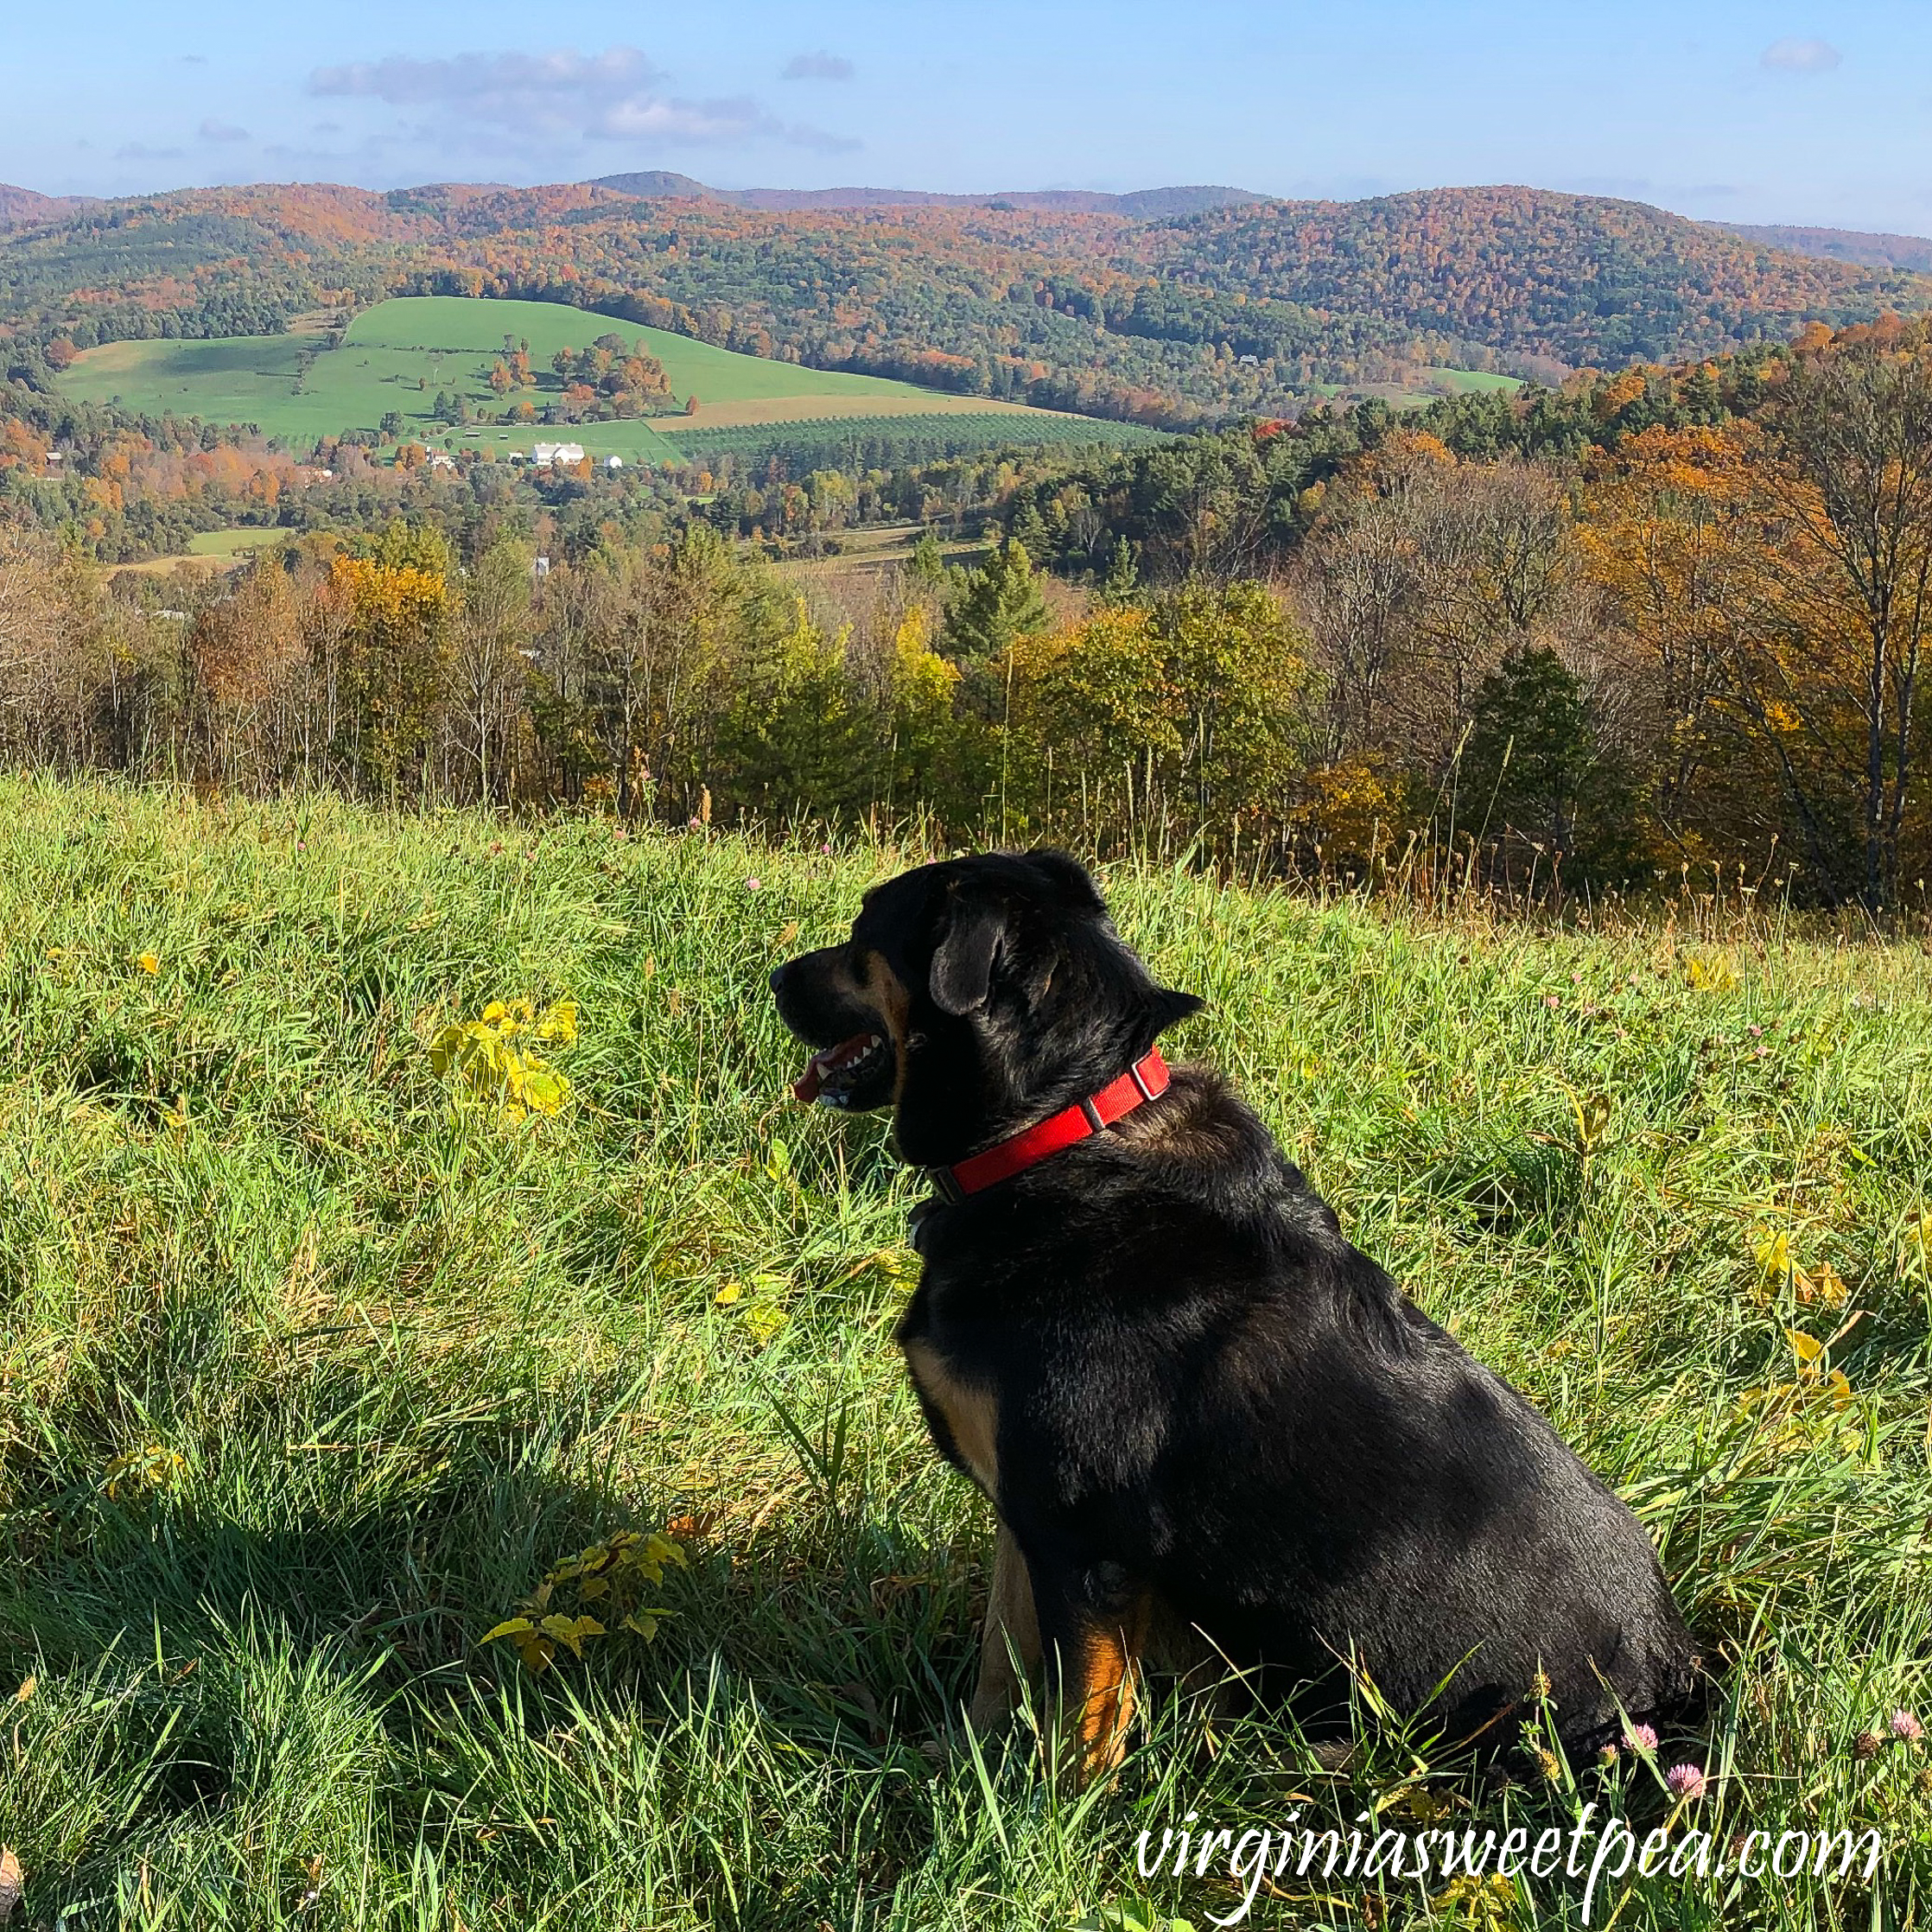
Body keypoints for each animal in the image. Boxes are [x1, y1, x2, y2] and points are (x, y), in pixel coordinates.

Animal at [760, 849, 1700, 1777]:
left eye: (862, 929)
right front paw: (960, 1763)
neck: (1056, 1133)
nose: (772, 976)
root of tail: (1675, 1677)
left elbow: (1082, 1717)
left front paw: (1047, 1813)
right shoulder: (1026, 1518)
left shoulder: (1086, 1541)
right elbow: (1001, 1656)